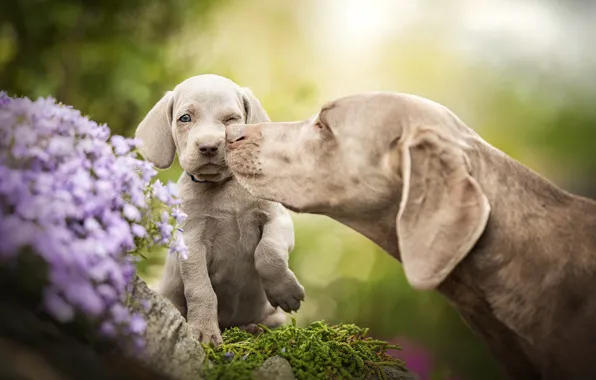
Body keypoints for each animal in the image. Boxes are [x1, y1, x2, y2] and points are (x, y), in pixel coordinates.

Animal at [134, 74, 302, 344]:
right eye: (185, 118)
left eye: (231, 120)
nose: (209, 146)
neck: (223, 186)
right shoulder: (191, 241)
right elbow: (200, 289)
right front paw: (203, 330)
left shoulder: (278, 219)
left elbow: (268, 253)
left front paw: (285, 292)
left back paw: (254, 327)